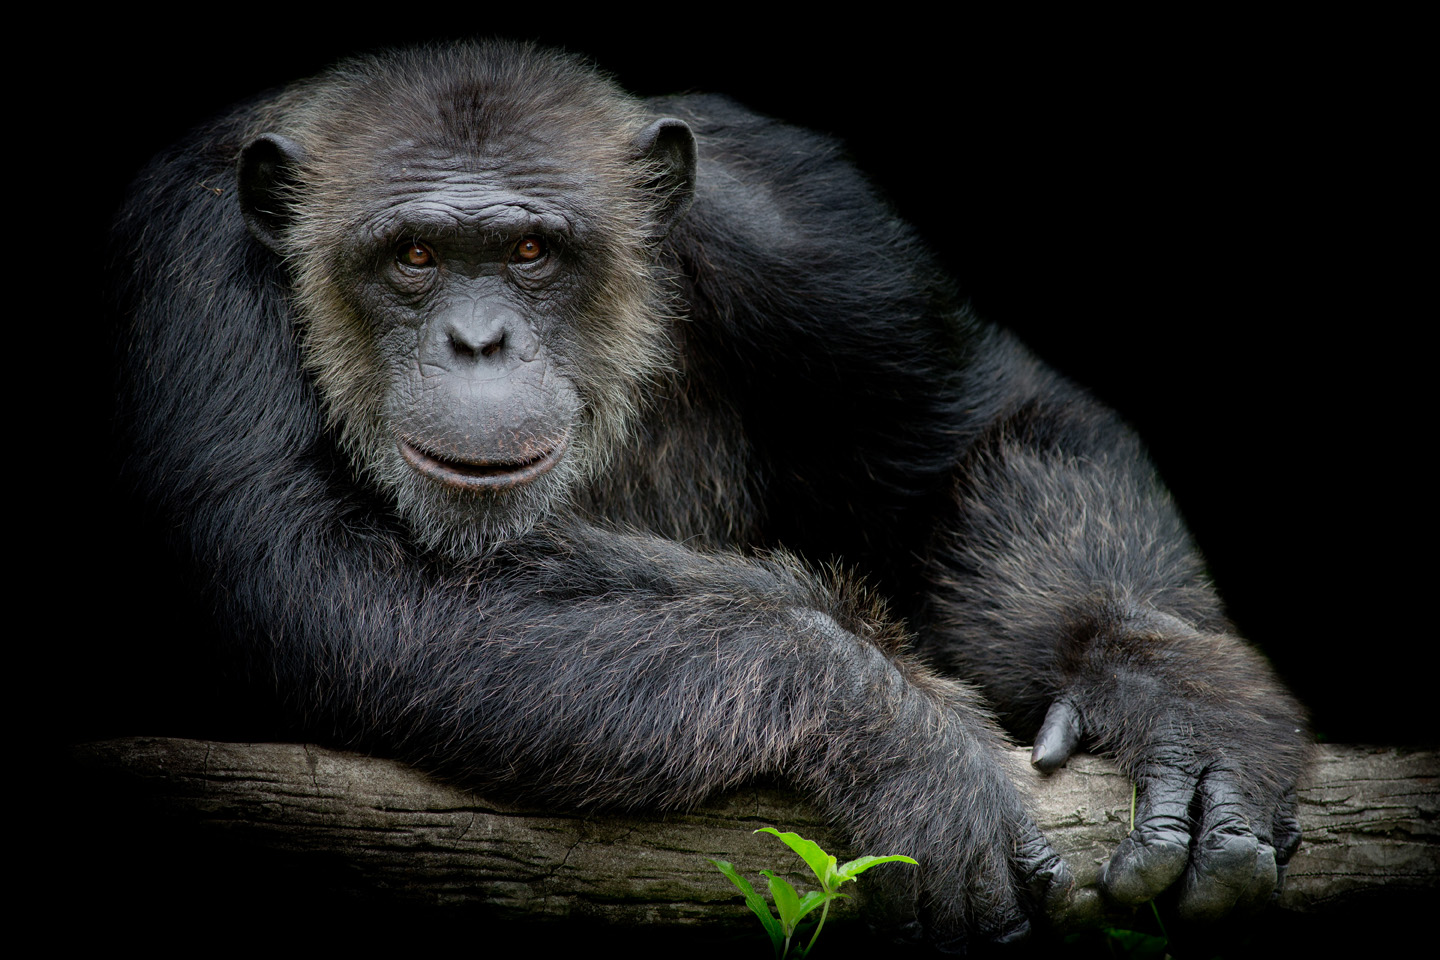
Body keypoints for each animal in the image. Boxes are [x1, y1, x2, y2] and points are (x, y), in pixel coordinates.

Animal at [108, 40, 1308, 947]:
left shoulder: (811, 234)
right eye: (411, 256)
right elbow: (314, 571)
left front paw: (1170, 692)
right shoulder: (189, 267)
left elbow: (981, 436)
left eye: (532, 249)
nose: (477, 339)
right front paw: (898, 730)